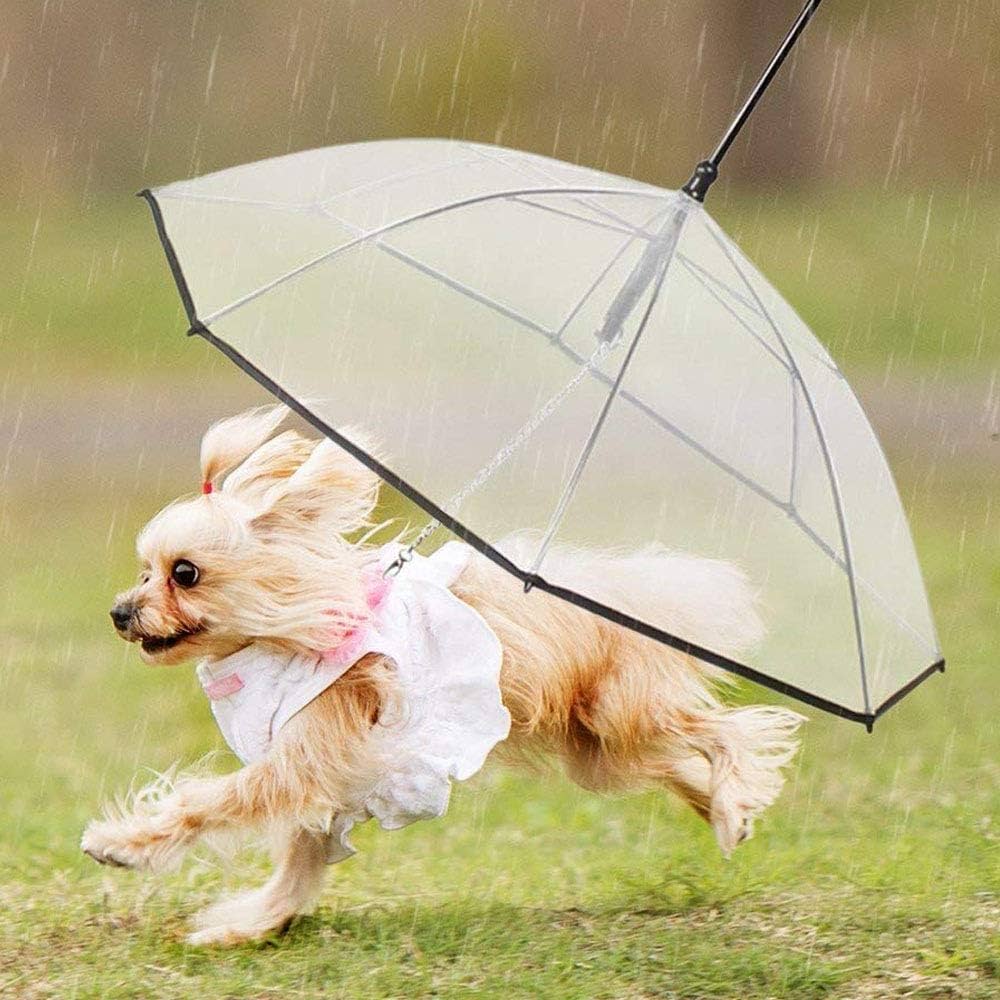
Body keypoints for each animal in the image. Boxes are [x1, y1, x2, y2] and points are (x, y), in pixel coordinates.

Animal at [84, 404, 804, 944]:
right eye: (145, 570)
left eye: (184, 573)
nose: (119, 612)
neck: (282, 636)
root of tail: (631, 594)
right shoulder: (334, 780)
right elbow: (299, 864)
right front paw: (249, 925)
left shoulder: (306, 759)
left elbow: (205, 803)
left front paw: (122, 844)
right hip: (599, 751)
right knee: (673, 763)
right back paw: (724, 812)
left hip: (620, 712)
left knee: (727, 730)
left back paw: (734, 798)